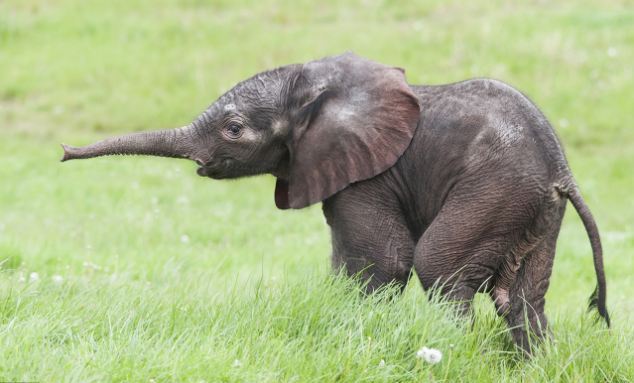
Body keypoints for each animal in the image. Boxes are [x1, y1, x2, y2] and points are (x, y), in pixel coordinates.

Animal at [63, 52, 608, 352]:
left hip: (493, 190)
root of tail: (561, 171)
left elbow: (384, 261)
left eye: (233, 129)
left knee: (439, 267)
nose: (65, 152)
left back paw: (447, 350)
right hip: (530, 207)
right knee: (522, 297)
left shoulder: (368, 176)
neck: (315, 88)